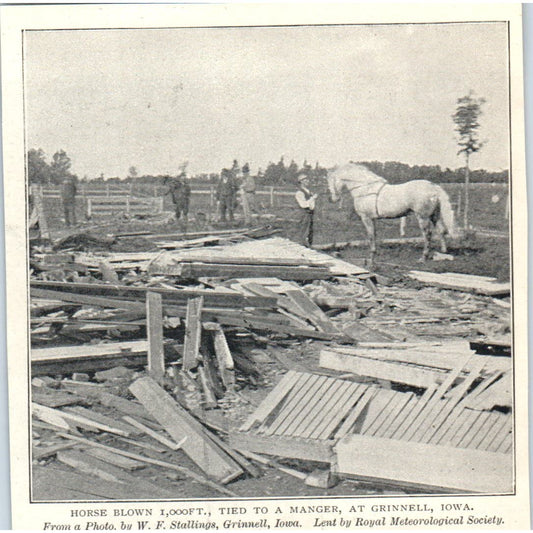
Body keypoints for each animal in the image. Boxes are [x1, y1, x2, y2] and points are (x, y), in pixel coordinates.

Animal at [326, 162, 456, 262]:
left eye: (331, 181)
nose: (333, 199)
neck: (365, 188)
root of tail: (433, 187)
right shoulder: (372, 219)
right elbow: (374, 234)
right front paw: (374, 253)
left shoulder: (366, 218)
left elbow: (370, 235)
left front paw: (372, 254)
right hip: (434, 215)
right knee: (441, 230)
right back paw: (443, 252)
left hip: (423, 217)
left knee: (427, 234)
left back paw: (423, 257)